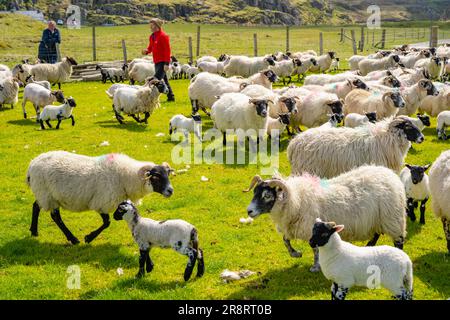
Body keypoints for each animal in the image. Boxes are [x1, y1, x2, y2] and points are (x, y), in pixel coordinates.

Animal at [25, 151, 174, 244]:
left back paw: (34, 231)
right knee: (55, 217)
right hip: (47, 194)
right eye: (156, 176)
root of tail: (31, 164)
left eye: (167, 174)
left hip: (44, 194)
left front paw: (89, 237)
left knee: (36, 206)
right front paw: (88, 238)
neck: (125, 177)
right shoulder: (103, 202)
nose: (170, 191)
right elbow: (107, 222)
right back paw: (73, 239)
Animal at [244, 165, 410, 272]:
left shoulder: (312, 228)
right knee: (376, 233)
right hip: (377, 218)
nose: (249, 211)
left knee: (399, 240)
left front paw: (315, 266)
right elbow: (285, 240)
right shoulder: (293, 227)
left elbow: (315, 249)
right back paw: (369, 246)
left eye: (267, 195)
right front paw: (296, 254)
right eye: (254, 192)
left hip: (392, 218)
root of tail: (390, 175)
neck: (295, 199)